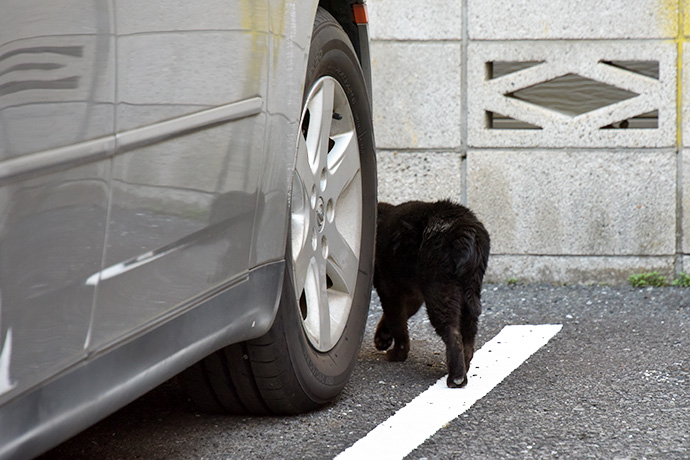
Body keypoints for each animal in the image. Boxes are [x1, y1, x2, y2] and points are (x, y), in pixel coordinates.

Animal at [370, 199, 490, 386]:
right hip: (468, 292)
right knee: (469, 334)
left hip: (440, 292)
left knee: (453, 332)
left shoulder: (389, 289)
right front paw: (383, 339)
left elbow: (397, 323)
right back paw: (465, 366)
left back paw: (456, 378)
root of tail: (465, 228)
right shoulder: (412, 295)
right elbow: (398, 317)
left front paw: (397, 353)